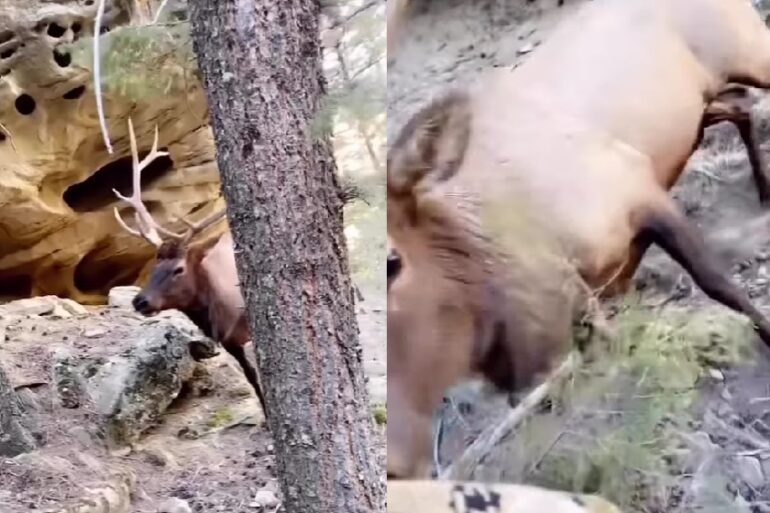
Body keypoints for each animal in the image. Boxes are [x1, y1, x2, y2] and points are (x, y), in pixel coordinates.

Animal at [387, 0, 770, 478]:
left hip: (752, 49)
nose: (394, 463)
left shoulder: (635, 185)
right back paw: (763, 187)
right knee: (739, 104)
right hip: (702, 102)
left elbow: (718, 284)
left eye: (393, 262)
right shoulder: (597, 282)